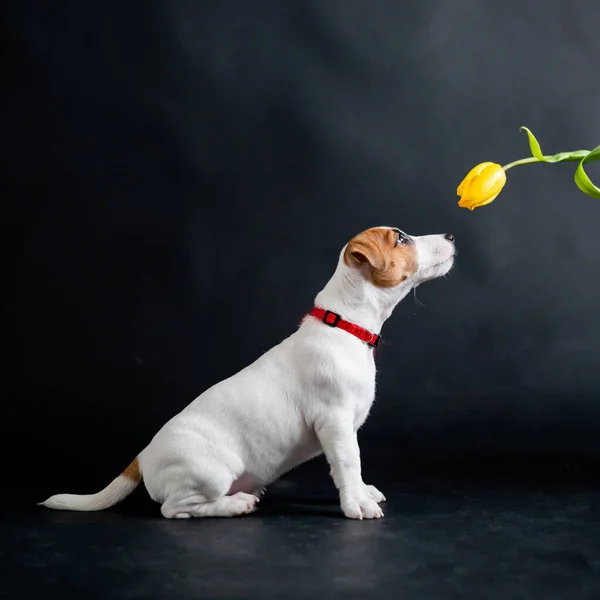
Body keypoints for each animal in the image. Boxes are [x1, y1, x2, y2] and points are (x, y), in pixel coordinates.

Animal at [41, 227, 454, 516]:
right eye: (401, 238)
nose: (450, 236)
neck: (345, 325)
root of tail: (141, 457)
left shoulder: (346, 428)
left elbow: (351, 465)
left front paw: (363, 491)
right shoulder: (334, 422)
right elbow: (349, 463)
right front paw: (357, 505)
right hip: (211, 472)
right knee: (175, 509)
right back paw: (235, 504)